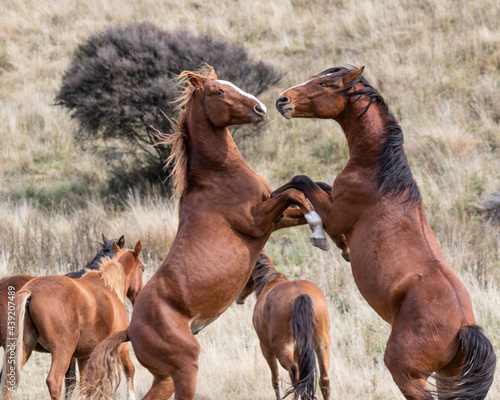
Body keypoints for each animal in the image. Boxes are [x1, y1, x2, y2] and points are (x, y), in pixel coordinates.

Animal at [0, 241, 145, 400]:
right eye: (143, 269)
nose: (139, 295)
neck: (108, 286)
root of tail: (30, 291)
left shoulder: (85, 355)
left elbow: (85, 385)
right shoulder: (121, 346)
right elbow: (129, 370)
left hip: (22, 349)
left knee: (8, 382)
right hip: (62, 352)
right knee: (54, 381)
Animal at [236, 253, 330, 400]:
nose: (238, 298)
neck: (270, 282)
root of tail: (300, 295)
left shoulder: (266, 349)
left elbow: (276, 380)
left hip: (281, 349)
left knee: (295, 373)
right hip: (322, 345)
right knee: (323, 380)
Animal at [274, 65, 496, 400]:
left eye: (324, 84)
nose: (282, 100)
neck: (379, 175)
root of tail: (463, 328)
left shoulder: (335, 215)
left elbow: (301, 182)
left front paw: (315, 232)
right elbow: (318, 187)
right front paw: (342, 248)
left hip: (406, 373)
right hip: (448, 378)